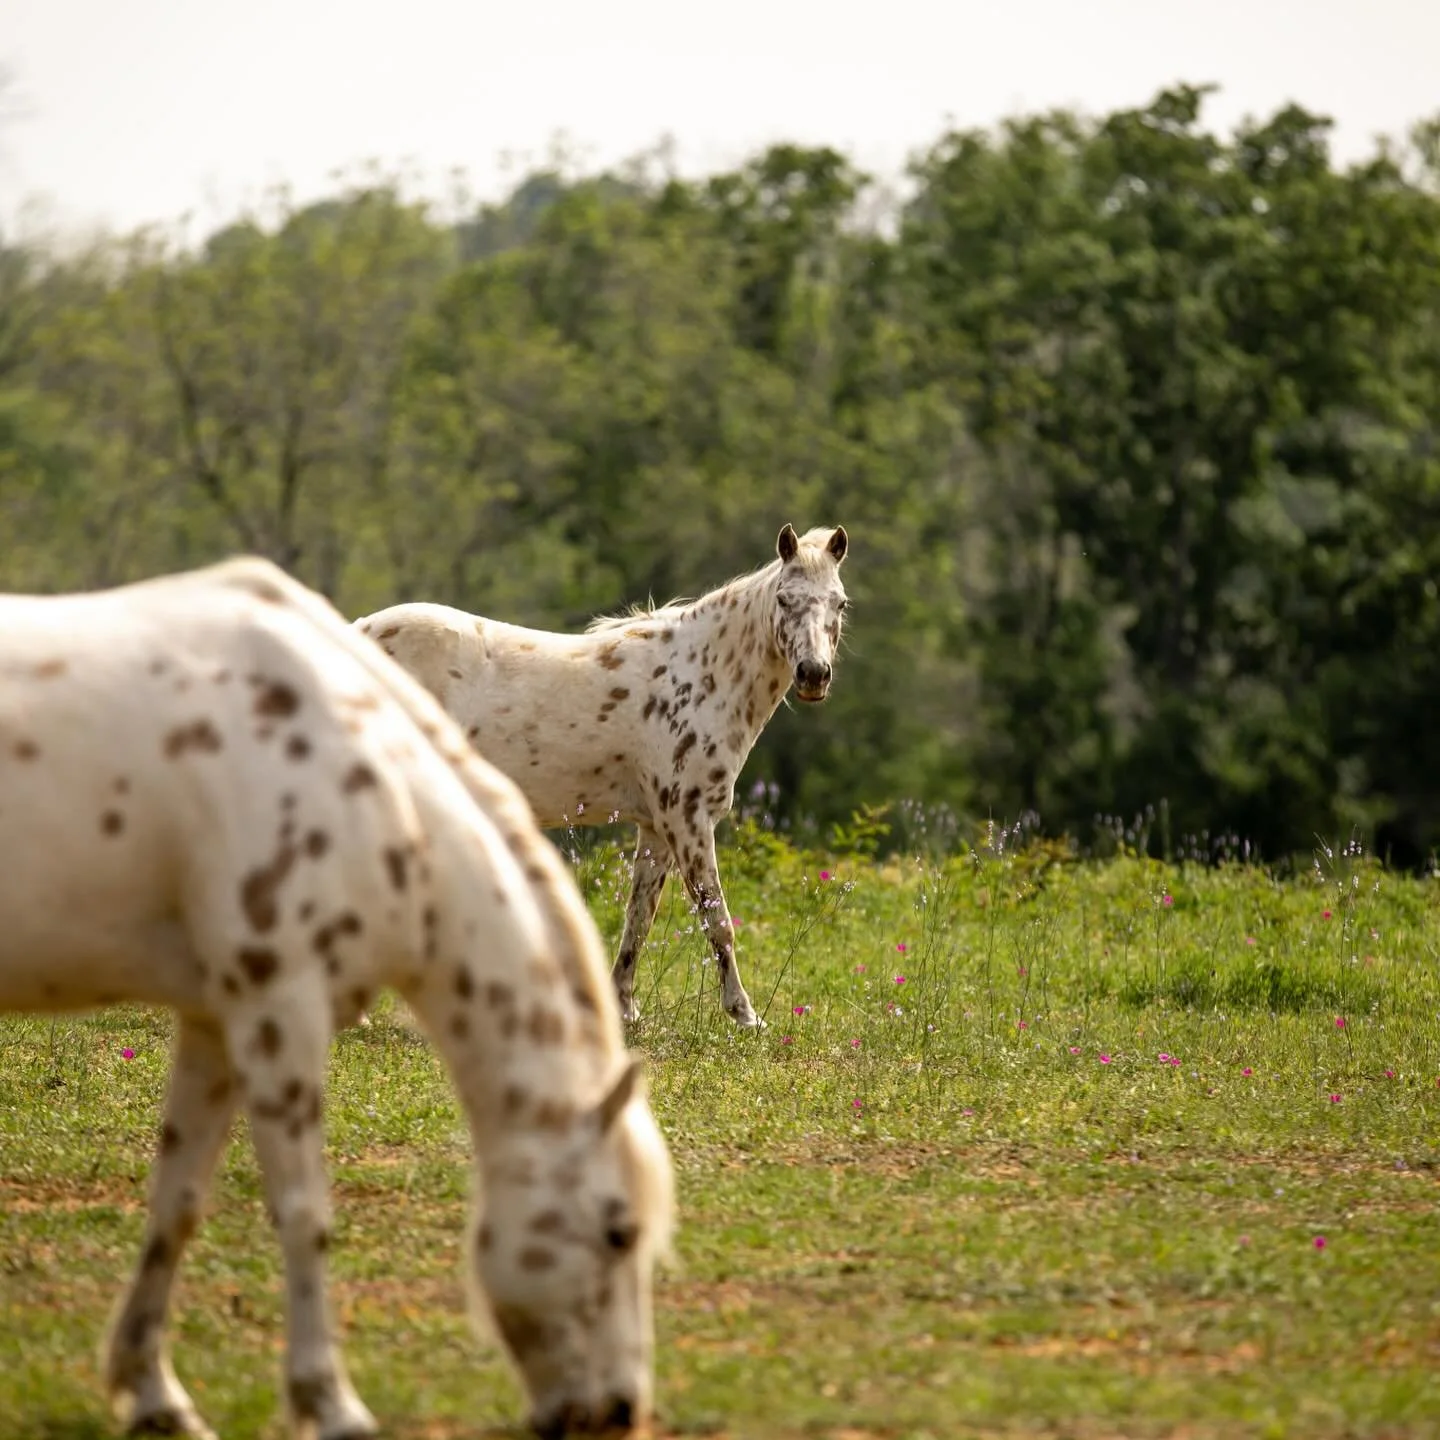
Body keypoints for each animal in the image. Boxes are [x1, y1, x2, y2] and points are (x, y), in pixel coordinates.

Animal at [0, 556, 674, 1440]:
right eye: (618, 1231)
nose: (621, 1409)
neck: (361, 778)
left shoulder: (214, 1021)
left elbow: (176, 1202)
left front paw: (153, 1395)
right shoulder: (279, 1010)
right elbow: (303, 1211)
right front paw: (329, 1401)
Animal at [354, 523, 850, 1029]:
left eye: (840, 603)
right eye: (785, 599)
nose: (813, 674)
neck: (703, 677)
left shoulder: (656, 829)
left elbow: (639, 919)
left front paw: (625, 1007)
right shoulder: (687, 821)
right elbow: (718, 920)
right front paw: (744, 1014)